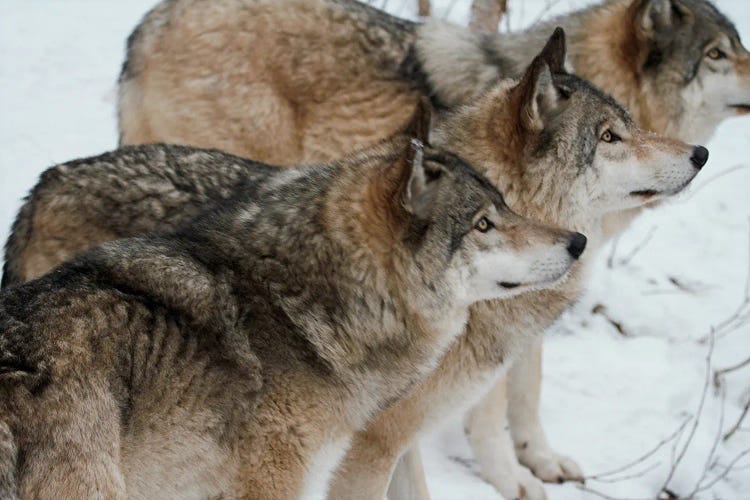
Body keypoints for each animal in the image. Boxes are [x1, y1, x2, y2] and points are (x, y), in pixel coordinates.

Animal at [0, 108, 588, 496]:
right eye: (483, 224)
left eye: (506, 206)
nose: (577, 242)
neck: (307, 313)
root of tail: (44, 184)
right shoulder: (279, 482)